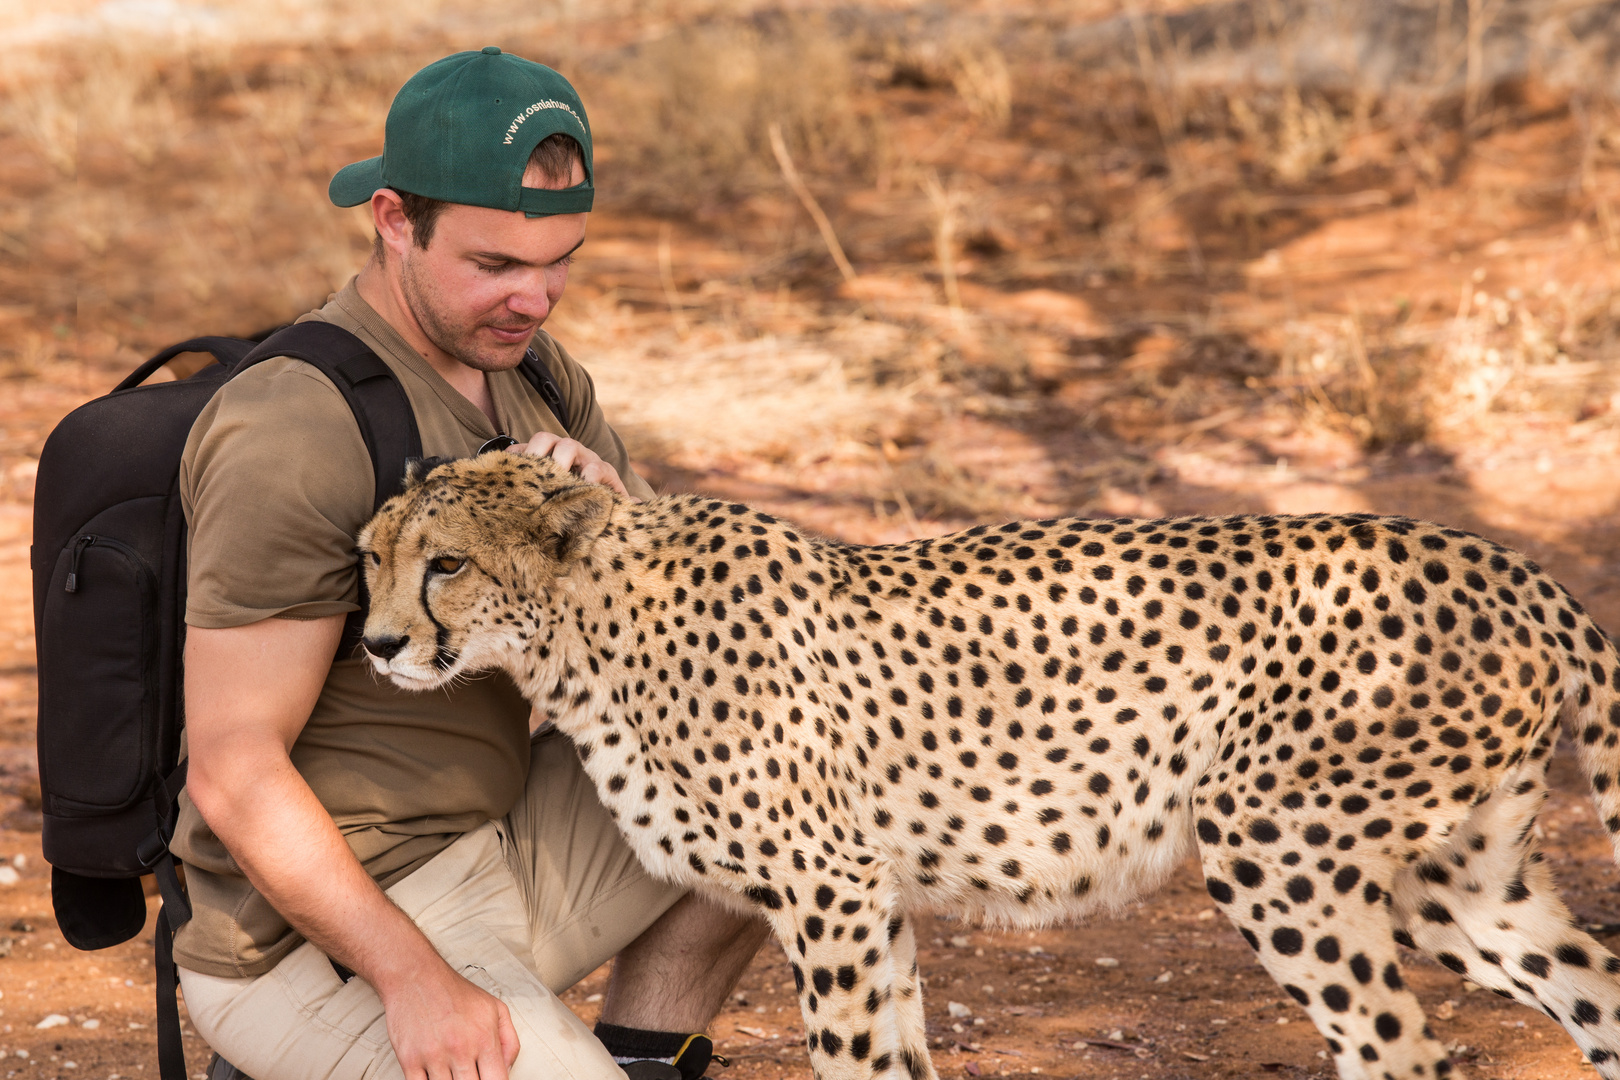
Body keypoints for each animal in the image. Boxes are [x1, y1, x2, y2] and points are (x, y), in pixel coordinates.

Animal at [364, 453, 1620, 1080]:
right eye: (372, 555)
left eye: (447, 565)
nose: (374, 644)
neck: (584, 632)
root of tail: (1502, 561)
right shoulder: (872, 899)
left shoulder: (828, 889)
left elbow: (852, 1061)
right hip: (1460, 883)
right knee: (1591, 992)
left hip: (1282, 852)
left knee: (1404, 1054)